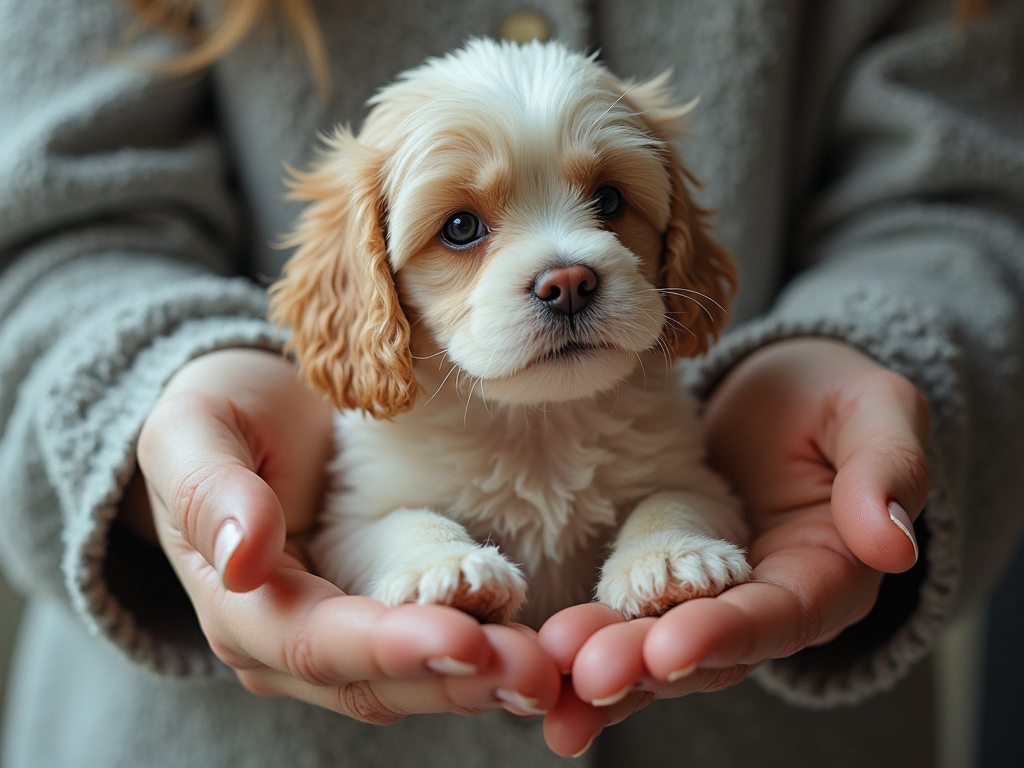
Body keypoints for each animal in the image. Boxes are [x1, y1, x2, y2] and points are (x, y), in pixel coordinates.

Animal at [270, 39, 753, 626]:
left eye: (610, 200)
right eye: (460, 227)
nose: (568, 284)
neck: (536, 420)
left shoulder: (699, 481)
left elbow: (672, 500)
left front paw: (670, 554)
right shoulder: (353, 521)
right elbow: (405, 522)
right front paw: (446, 565)